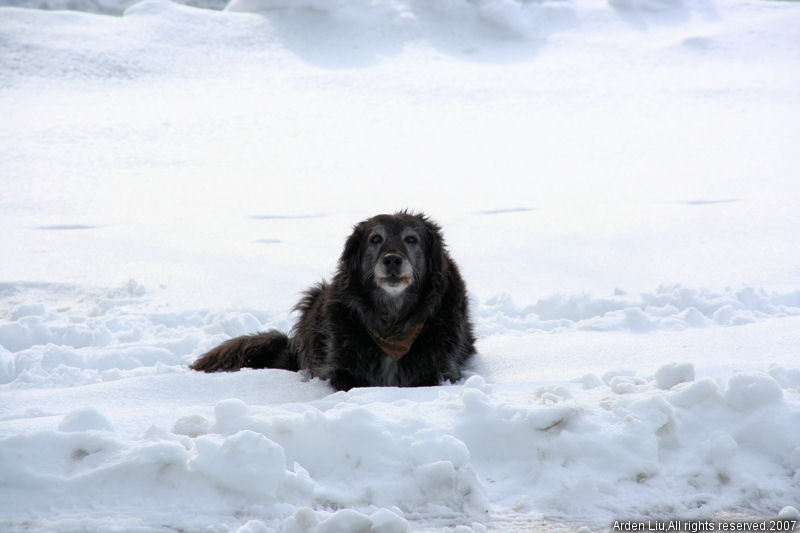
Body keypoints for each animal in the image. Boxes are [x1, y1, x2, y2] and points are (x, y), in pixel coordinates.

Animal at [189, 212, 476, 390]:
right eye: (375, 239)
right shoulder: (342, 370)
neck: (392, 321)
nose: (392, 259)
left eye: (411, 239)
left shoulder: (440, 369)